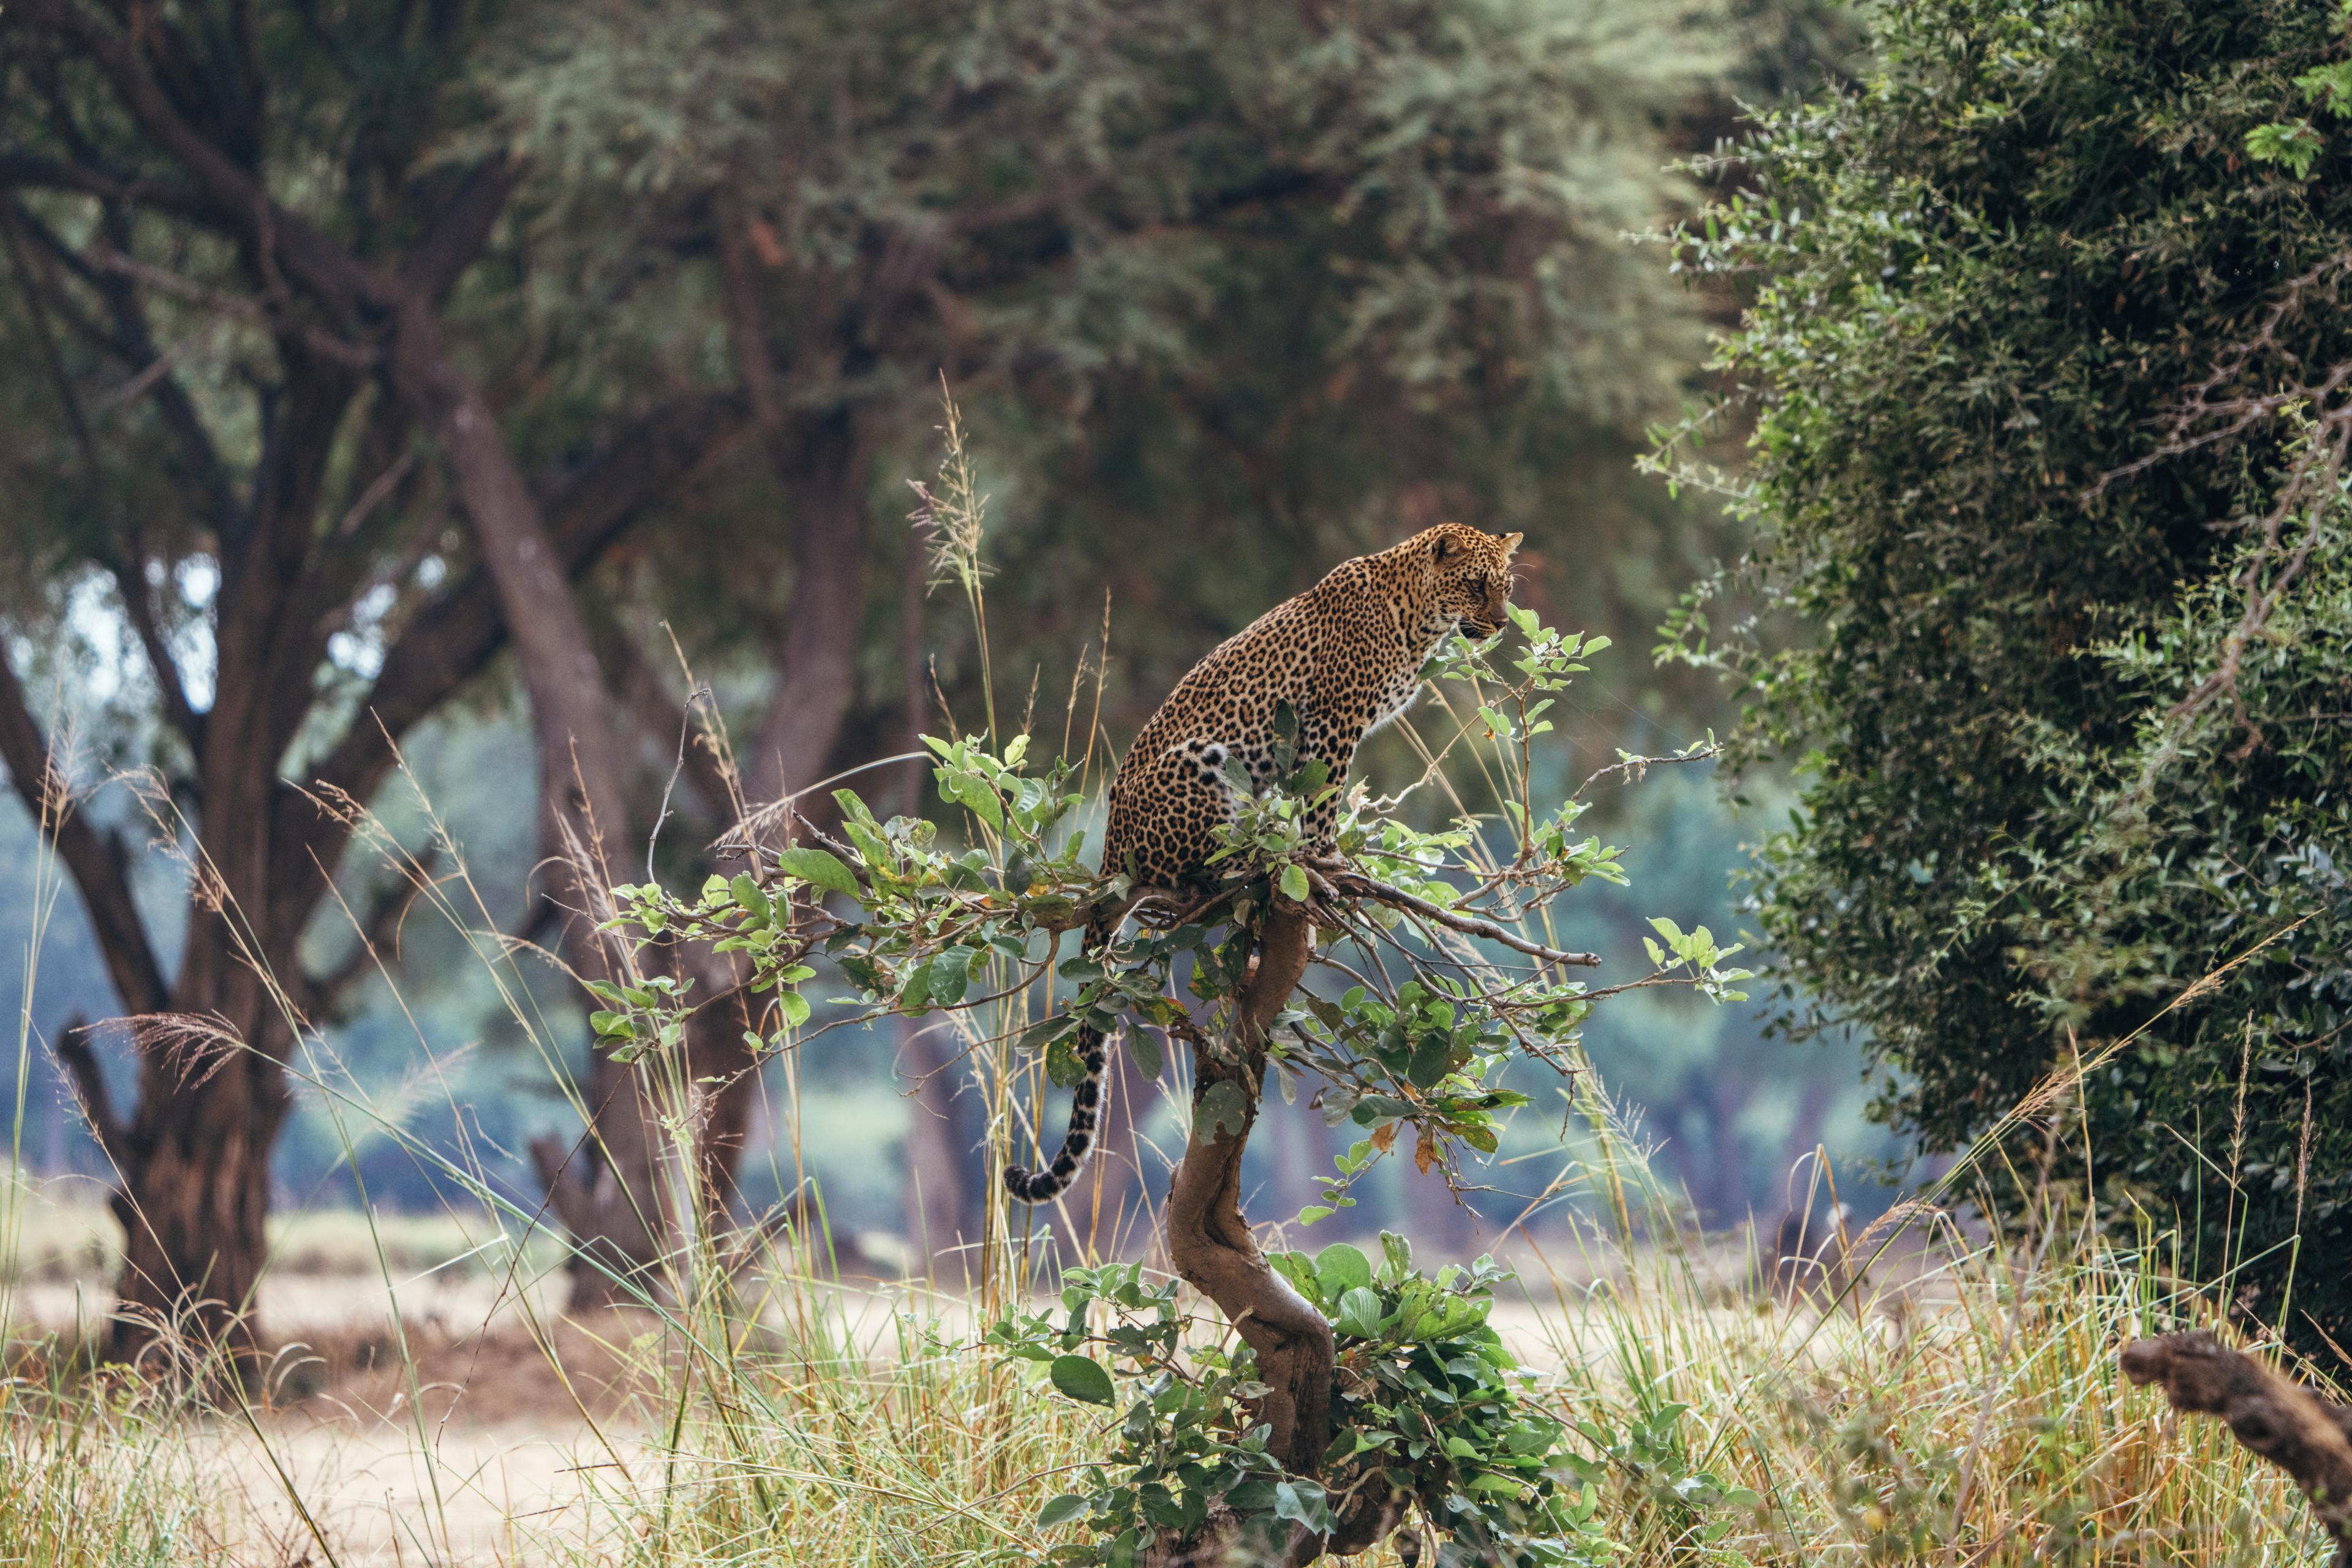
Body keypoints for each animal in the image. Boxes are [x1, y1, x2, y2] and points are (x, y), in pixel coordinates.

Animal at [1005, 522, 1523, 1202]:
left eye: (1506, 586)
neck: (1417, 622)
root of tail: (1110, 850)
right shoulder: (1332, 721)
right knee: (1189, 870)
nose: (1503, 622)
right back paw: (1243, 863)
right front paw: (1322, 860)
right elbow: (1324, 799)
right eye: (1476, 586)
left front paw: (1314, 859)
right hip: (1201, 764)